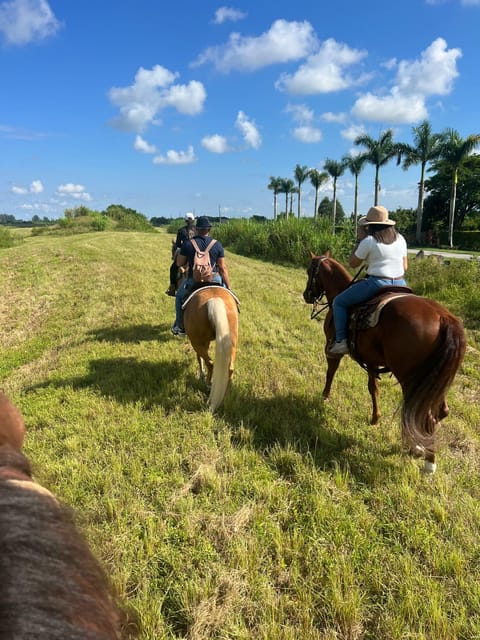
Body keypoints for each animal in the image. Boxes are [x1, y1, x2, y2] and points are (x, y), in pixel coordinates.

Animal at [304, 252, 464, 472]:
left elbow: (331, 372)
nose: (306, 295)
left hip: (411, 379)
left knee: (423, 415)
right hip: (436, 380)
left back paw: (425, 460)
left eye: (310, 271)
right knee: (439, 412)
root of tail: (444, 318)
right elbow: (374, 388)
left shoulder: (332, 348)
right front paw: (375, 418)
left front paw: (325, 396)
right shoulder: (371, 360)